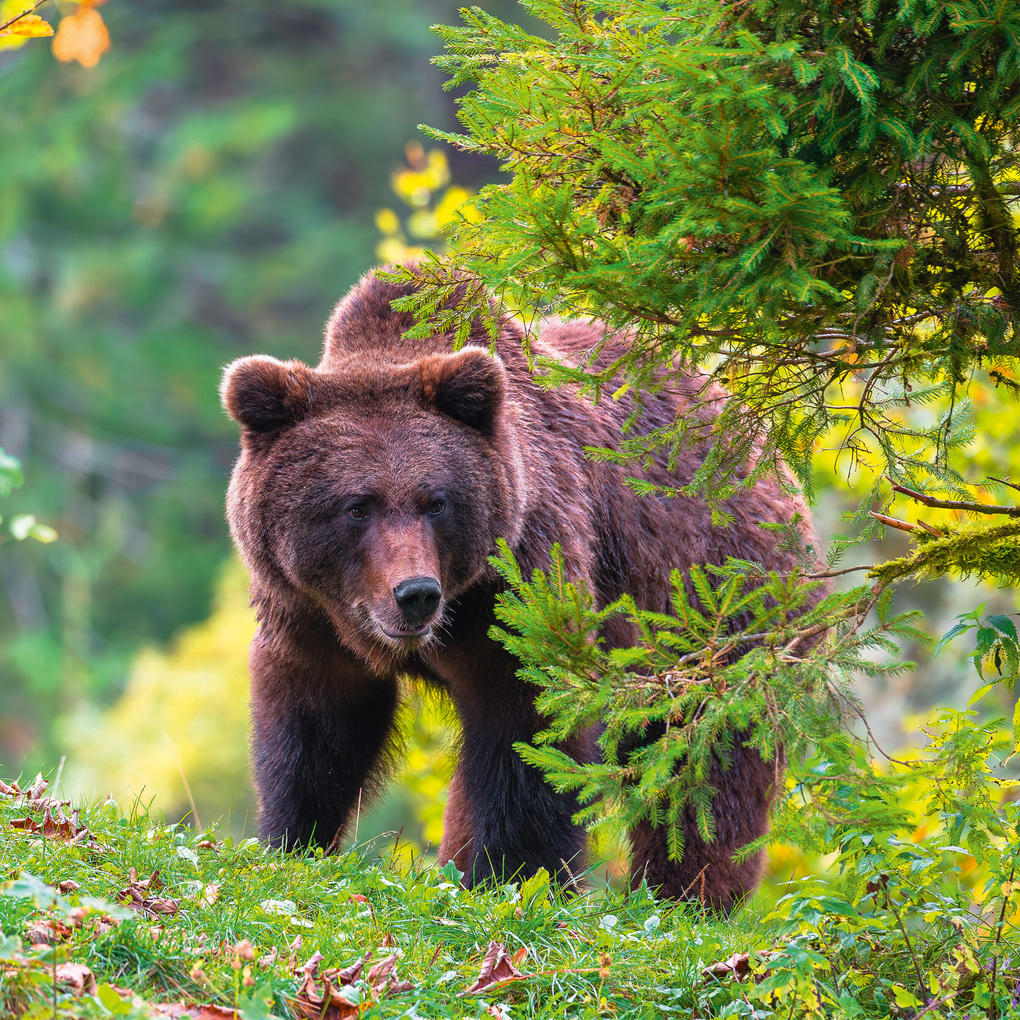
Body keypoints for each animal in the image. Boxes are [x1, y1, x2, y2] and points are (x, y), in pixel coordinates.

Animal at [220, 265, 819, 913]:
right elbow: (313, 728)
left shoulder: (528, 586)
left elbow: (526, 729)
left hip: (717, 607)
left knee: (704, 761)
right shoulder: (308, 611)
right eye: (356, 506)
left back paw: (685, 894)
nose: (416, 593)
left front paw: (514, 874)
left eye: (436, 502)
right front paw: (291, 840)